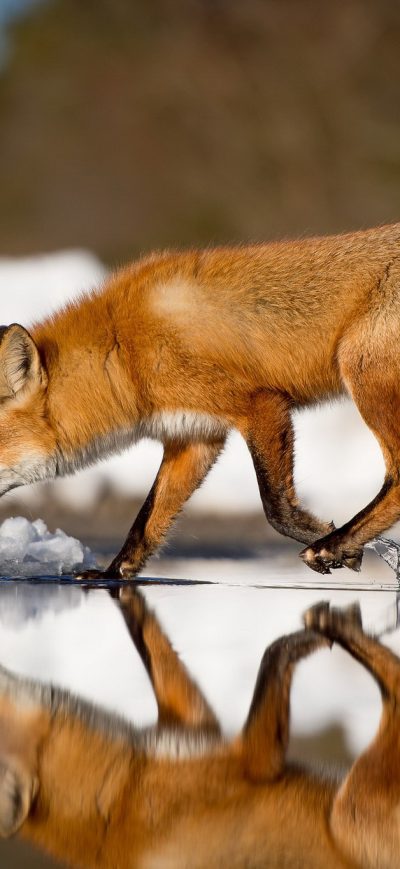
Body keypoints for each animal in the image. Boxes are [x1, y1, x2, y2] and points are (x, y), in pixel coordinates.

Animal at [0, 590, 399, 869]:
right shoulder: (255, 761)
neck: (118, 789)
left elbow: (150, 645)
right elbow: (273, 652)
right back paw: (337, 626)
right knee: (393, 686)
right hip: (351, 813)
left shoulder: (194, 725)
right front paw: (305, 639)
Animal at [1, 222, 400, 578]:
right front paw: (112, 574)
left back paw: (334, 545)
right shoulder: (195, 436)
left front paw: (334, 542)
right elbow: (146, 520)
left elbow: (275, 507)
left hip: (362, 374)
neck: (123, 352)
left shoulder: (259, 404)